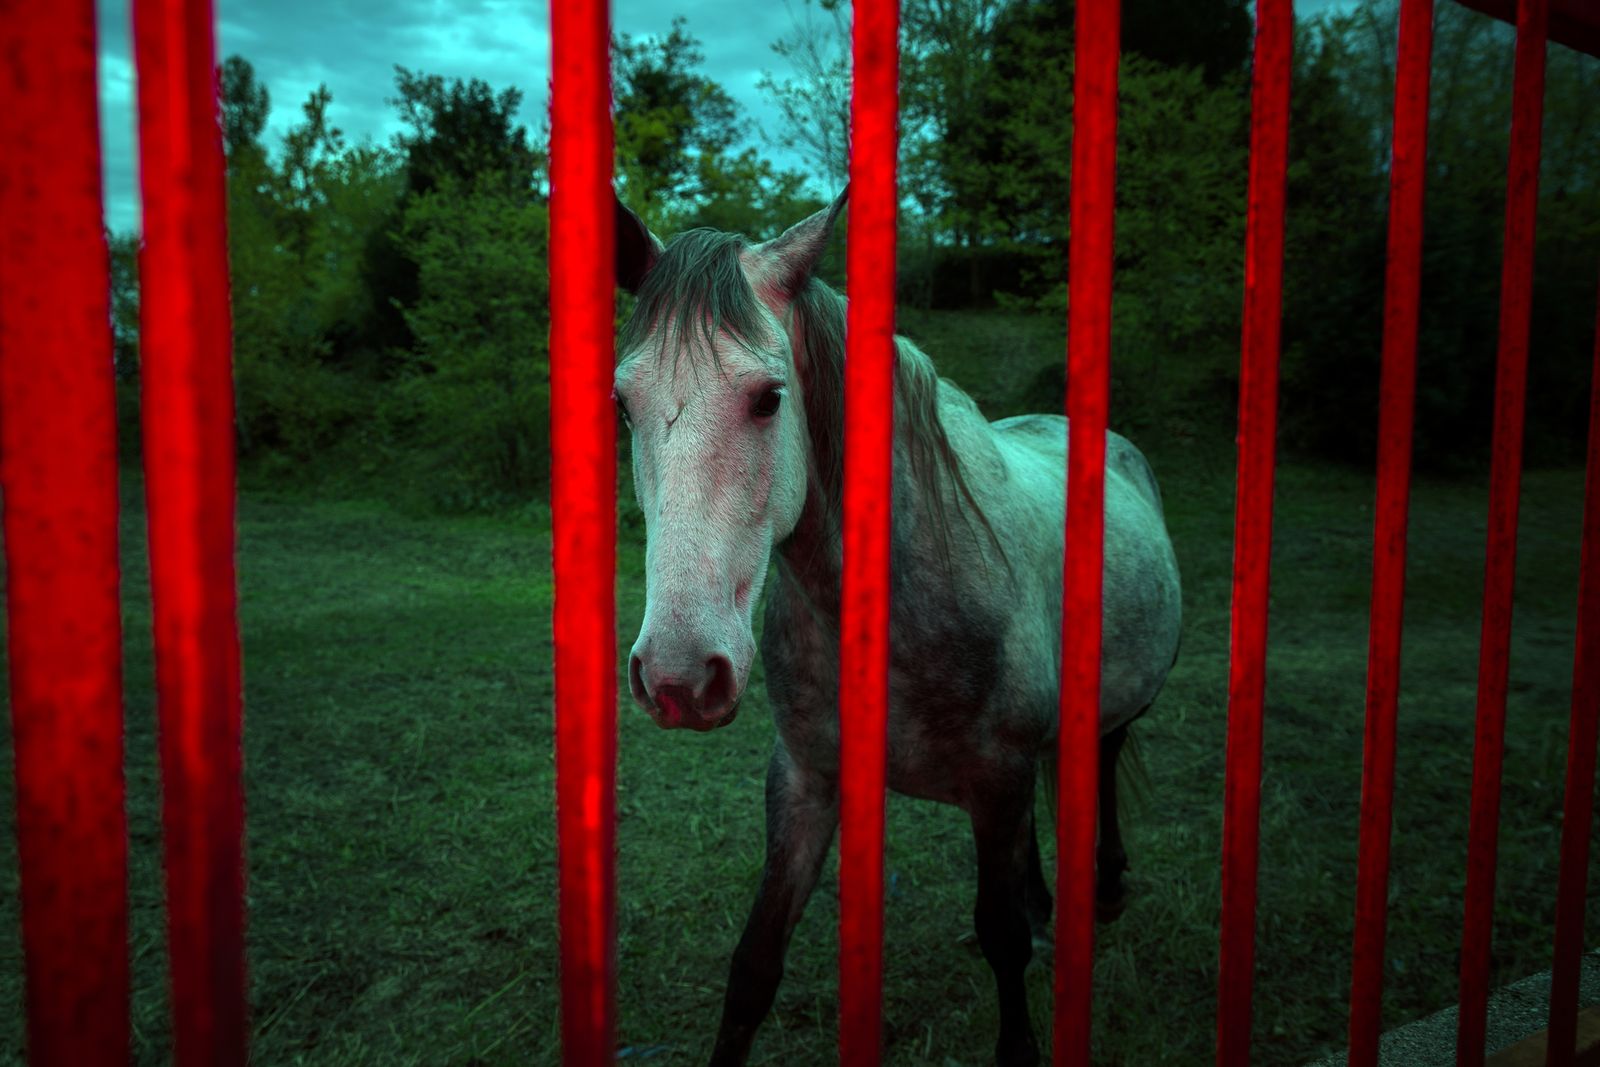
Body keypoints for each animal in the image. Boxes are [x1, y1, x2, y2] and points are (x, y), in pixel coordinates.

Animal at [604, 191, 1184, 1067]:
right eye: (622, 404)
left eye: (768, 396)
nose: (679, 675)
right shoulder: (806, 779)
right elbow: (754, 966)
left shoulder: (999, 775)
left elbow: (1001, 937)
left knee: (1107, 754)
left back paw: (1106, 884)